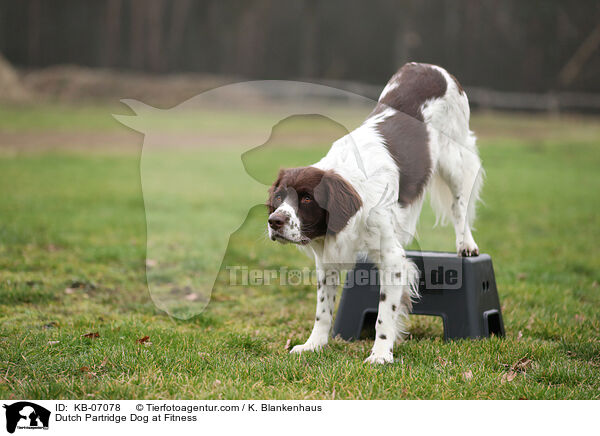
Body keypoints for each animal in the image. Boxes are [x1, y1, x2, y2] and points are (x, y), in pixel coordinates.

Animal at [266, 62, 482, 364]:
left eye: (307, 198)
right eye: (278, 198)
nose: (274, 222)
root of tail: (430, 67)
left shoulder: (392, 260)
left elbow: (384, 314)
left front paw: (381, 354)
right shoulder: (327, 261)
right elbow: (323, 311)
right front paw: (314, 345)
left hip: (455, 160)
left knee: (459, 206)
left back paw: (466, 244)